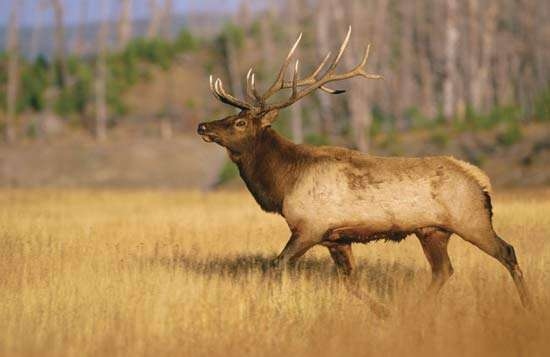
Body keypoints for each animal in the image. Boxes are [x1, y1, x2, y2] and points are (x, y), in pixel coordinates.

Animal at [198, 27, 536, 306]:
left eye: (240, 122)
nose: (203, 126)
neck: (282, 184)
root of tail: (480, 180)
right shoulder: (335, 238)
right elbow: (350, 282)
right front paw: (382, 312)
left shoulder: (310, 227)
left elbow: (276, 265)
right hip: (432, 231)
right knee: (443, 271)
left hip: (471, 219)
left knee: (507, 251)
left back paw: (528, 306)